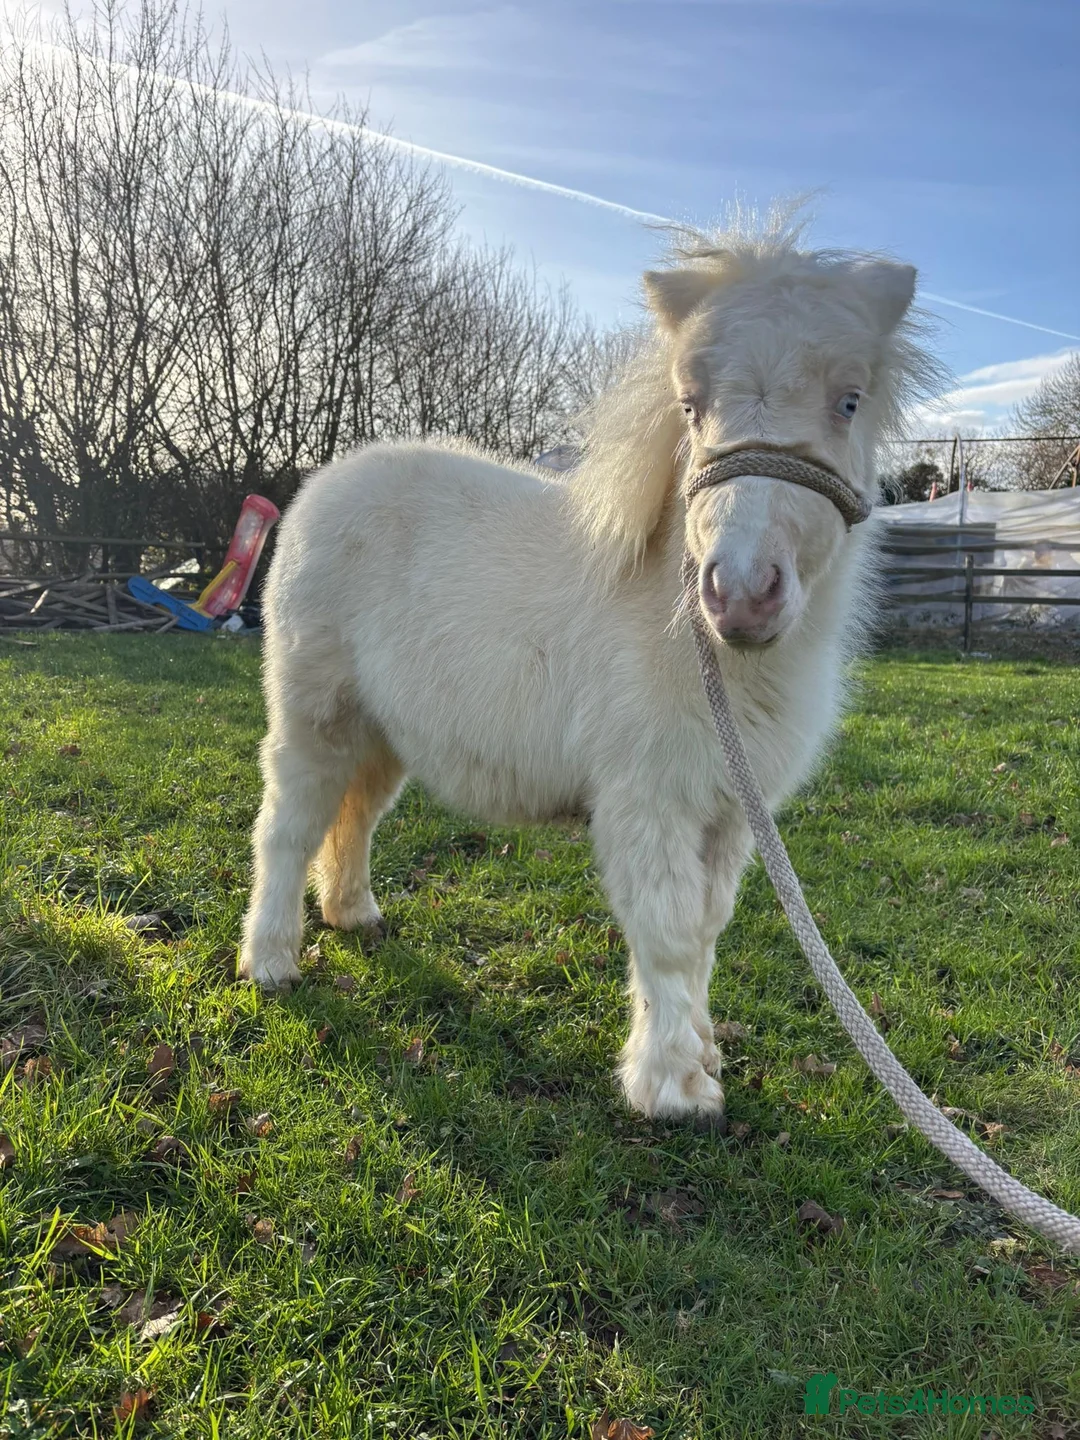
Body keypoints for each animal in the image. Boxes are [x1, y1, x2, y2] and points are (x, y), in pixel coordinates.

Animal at [238, 215, 937, 1124]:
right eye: (691, 407)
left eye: (849, 401)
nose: (741, 593)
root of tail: (324, 487)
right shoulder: (650, 798)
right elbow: (667, 933)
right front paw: (671, 1088)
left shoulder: (729, 811)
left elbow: (706, 930)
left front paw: (702, 1052)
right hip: (315, 710)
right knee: (288, 824)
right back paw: (270, 963)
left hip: (384, 731)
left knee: (352, 816)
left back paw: (354, 915)